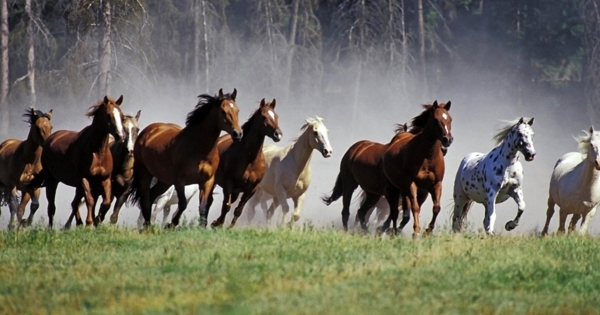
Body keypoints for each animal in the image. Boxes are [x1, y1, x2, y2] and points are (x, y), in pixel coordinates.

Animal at [41, 95, 125, 228]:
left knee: (74, 203)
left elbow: (106, 202)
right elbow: (90, 201)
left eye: (121, 115)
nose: (120, 136)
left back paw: (79, 223)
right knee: (51, 207)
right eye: (108, 115)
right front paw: (89, 223)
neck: (97, 152)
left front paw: (97, 221)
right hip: (52, 180)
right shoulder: (84, 179)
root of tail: (50, 138)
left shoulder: (105, 179)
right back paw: (51, 228)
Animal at [132, 89, 243, 230]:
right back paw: (147, 227)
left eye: (237, 110)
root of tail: (148, 130)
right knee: (146, 199)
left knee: (151, 196)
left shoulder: (207, 181)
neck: (199, 150)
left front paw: (202, 227)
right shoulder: (180, 181)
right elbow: (183, 204)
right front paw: (171, 225)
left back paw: (146, 227)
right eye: (223, 111)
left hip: (164, 181)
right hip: (145, 173)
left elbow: (203, 206)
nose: (238, 134)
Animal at [210, 97, 282, 228]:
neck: (250, 160)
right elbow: (226, 207)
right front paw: (219, 225)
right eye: (263, 117)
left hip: (236, 191)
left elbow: (238, 210)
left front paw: (228, 227)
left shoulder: (251, 189)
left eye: (276, 116)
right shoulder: (228, 184)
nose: (278, 134)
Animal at [326, 101, 452, 237]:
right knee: (347, 211)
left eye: (450, 119)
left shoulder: (430, 187)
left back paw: (366, 231)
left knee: (362, 212)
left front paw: (426, 231)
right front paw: (413, 232)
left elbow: (434, 208)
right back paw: (349, 232)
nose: (447, 141)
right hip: (350, 184)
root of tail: (355, 148)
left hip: (373, 194)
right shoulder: (407, 187)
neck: (425, 158)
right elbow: (411, 209)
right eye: (435, 120)